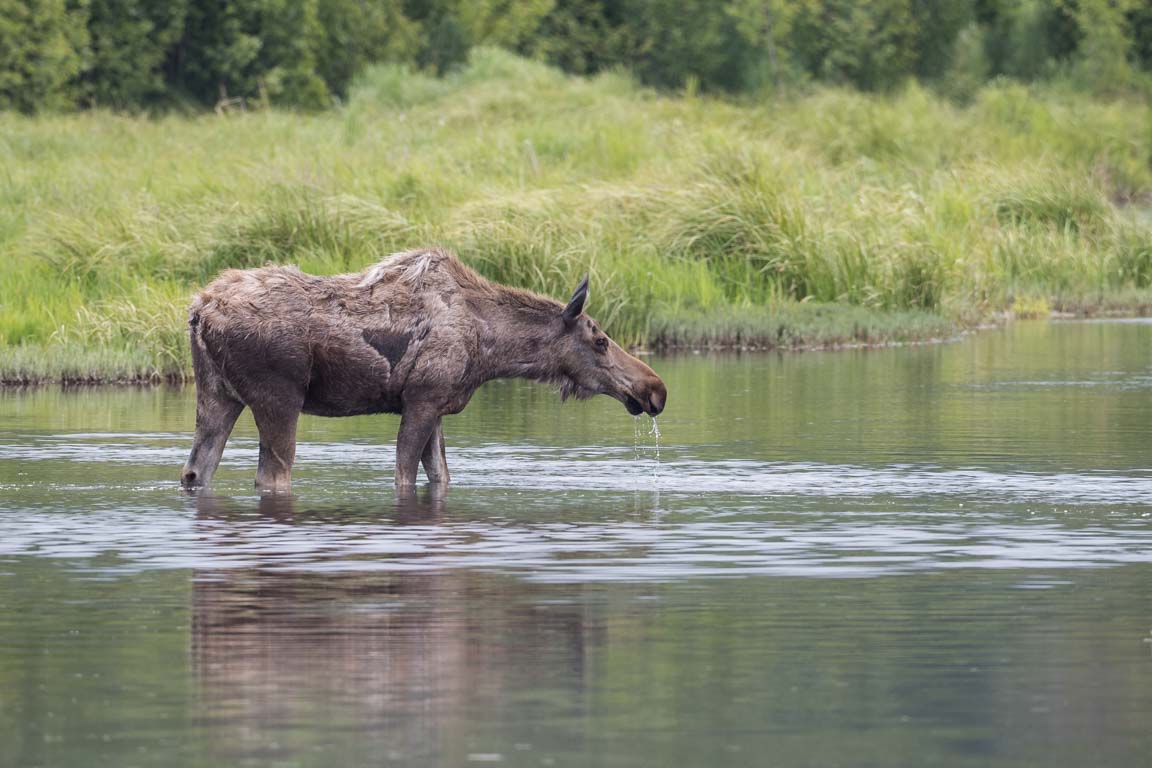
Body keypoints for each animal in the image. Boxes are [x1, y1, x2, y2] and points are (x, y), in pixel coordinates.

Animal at [179, 249, 668, 495]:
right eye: (600, 340)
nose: (655, 389)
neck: (490, 348)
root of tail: (199, 310)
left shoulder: (437, 407)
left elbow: (442, 475)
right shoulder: (422, 400)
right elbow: (404, 476)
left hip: (216, 393)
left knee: (195, 471)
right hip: (278, 397)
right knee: (272, 476)